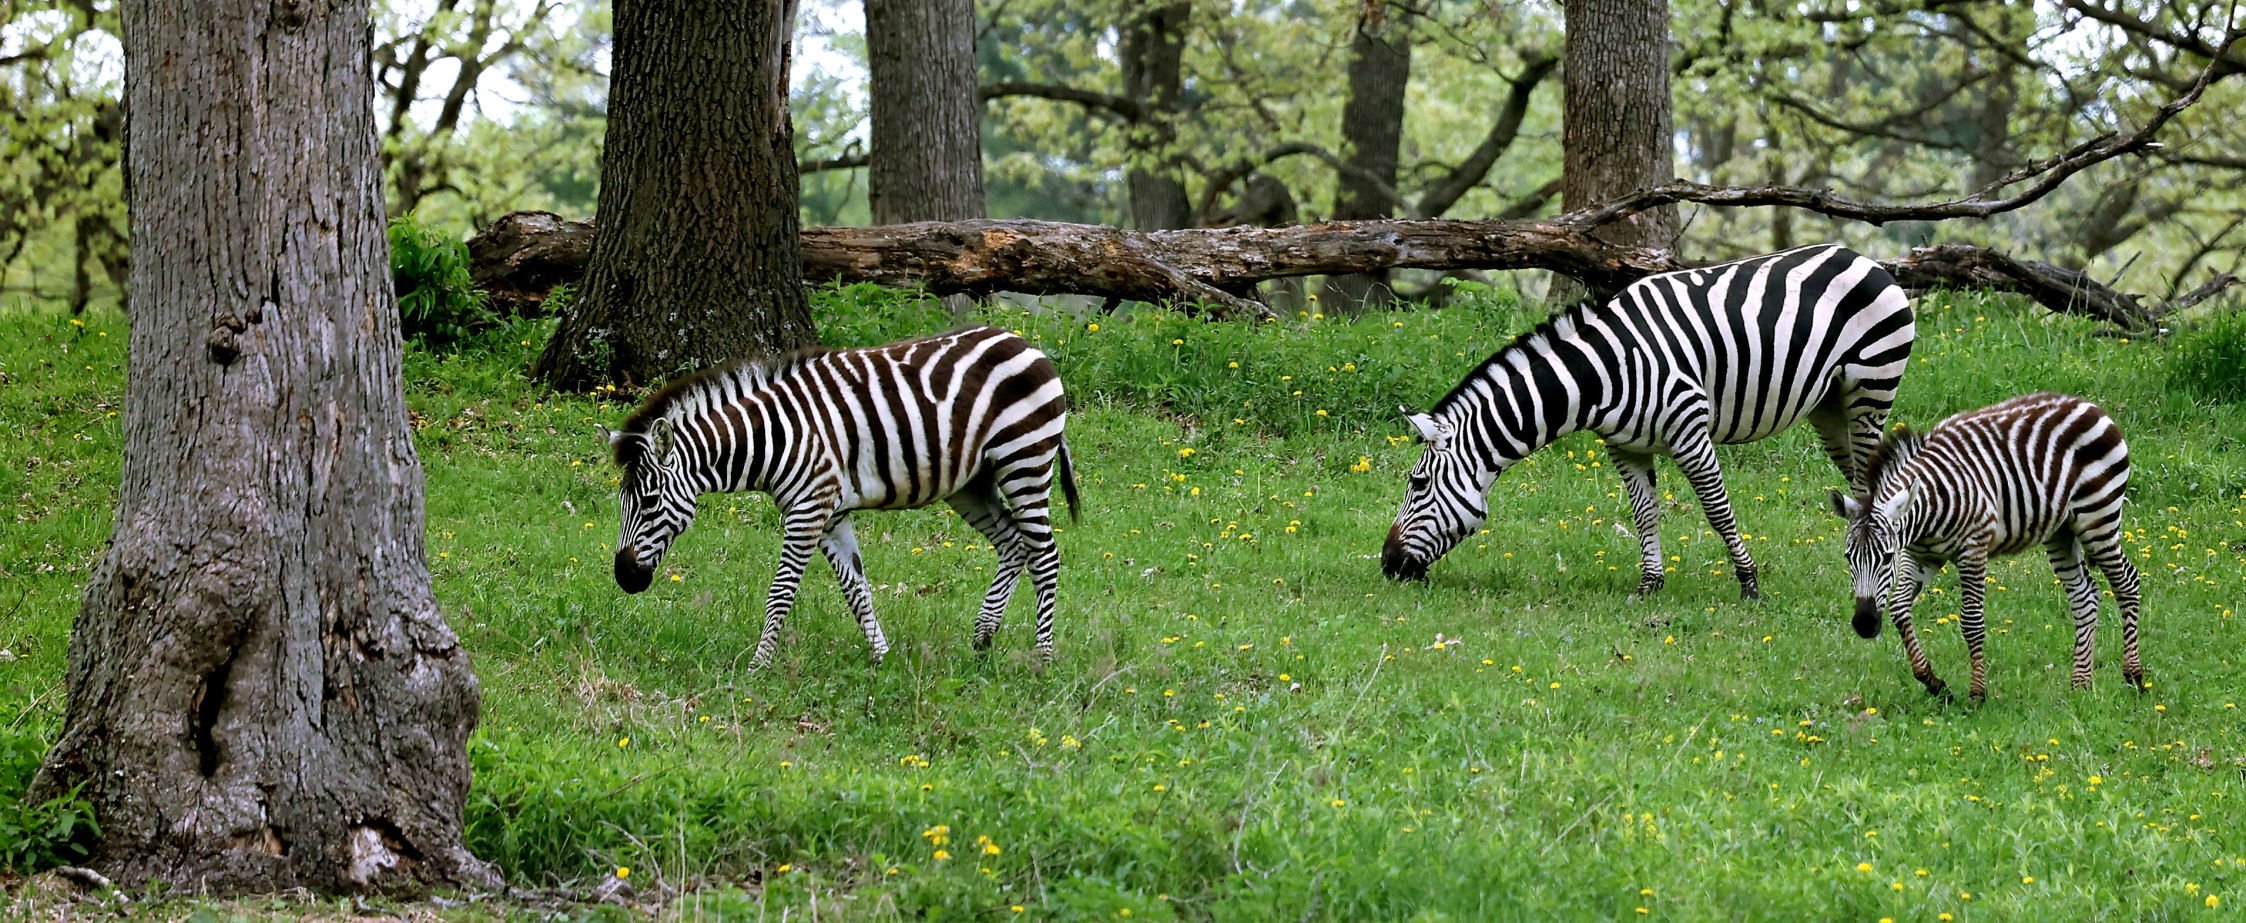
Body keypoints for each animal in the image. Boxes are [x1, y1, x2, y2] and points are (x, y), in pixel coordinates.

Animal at [606, 327, 1078, 673]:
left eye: (649, 502)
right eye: (623, 504)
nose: (624, 578)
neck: (774, 437)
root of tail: (1024, 342)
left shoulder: (808, 509)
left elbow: (781, 591)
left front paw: (757, 668)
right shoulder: (830, 515)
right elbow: (856, 589)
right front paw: (882, 659)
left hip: (1024, 459)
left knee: (1044, 554)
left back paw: (1043, 659)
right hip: (973, 483)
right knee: (1013, 544)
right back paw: (982, 641)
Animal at [1383, 243, 1913, 601]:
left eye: (1417, 483)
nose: (1387, 565)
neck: (1601, 374)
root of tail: (1862, 256)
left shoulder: (1690, 429)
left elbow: (1718, 511)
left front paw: (1749, 584)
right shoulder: (1625, 446)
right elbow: (1644, 513)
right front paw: (1650, 584)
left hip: (1871, 389)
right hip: (1830, 407)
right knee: (1861, 484)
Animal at [1823, 390, 2138, 700]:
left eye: (1887, 558)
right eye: (1848, 557)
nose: (1864, 624)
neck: (1927, 511)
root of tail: (2089, 405)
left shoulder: (1973, 549)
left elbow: (1971, 621)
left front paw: (1977, 692)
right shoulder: (1921, 555)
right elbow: (1899, 608)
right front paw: (1933, 682)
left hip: (2098, 518)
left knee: (2127, 582)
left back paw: (2133, 675)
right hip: (2061, 531)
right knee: (2084, 597)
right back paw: (2080, 684)